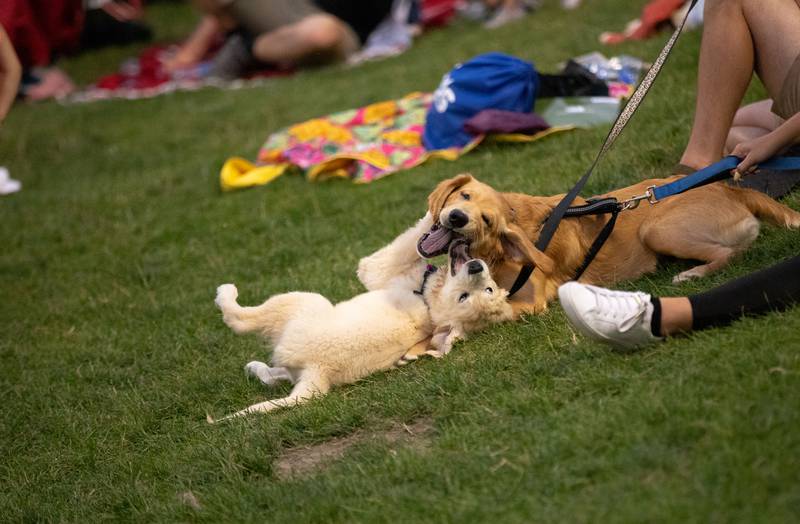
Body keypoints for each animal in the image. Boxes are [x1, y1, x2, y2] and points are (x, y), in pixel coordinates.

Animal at [211, 213, 512, 422]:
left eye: (464, 297)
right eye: (487, 289)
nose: (476, 266)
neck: (426, 301)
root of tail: (317, 369)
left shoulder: (376, 268)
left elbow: (408, 239)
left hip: (303, 302)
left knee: (239, 320)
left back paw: (226, 293)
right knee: (276, 375)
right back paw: (256, 367)